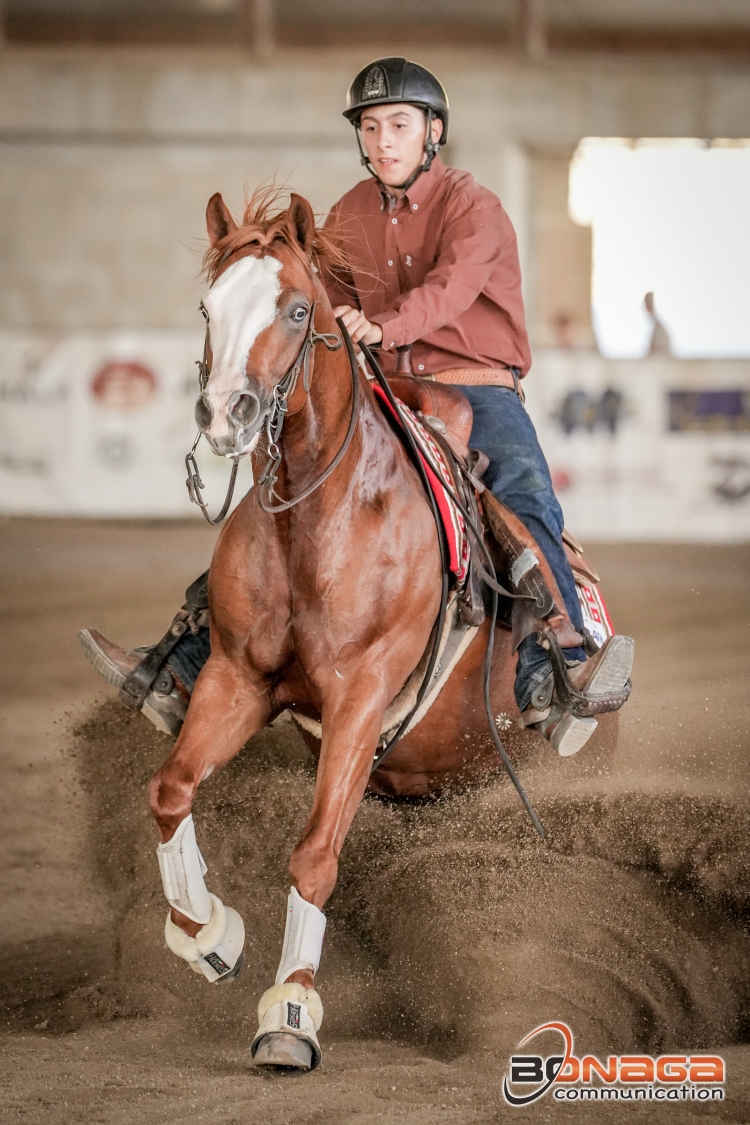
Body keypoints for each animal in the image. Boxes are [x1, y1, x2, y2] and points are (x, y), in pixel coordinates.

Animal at [150, 191, 616, 1071]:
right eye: (206, 306)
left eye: (297, 309)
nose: (225, 414)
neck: (318, 520)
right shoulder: (235, 678)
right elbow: (171, 789)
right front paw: (208, 935)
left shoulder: (360, 697)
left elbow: (313, 852)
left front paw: (290, 1010)